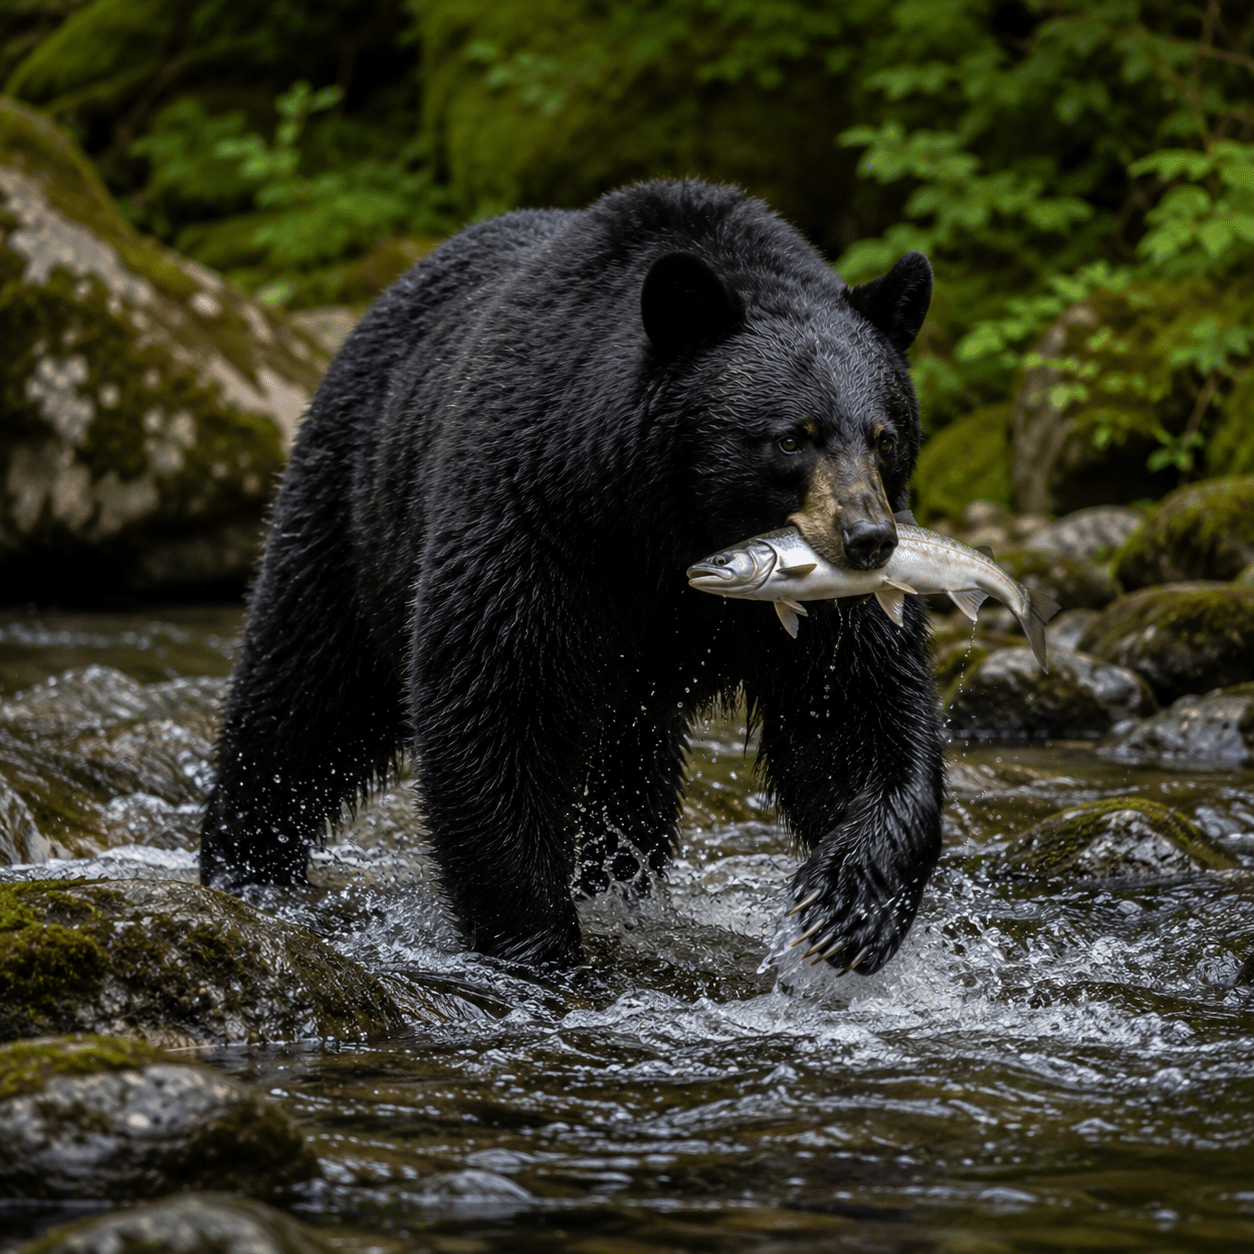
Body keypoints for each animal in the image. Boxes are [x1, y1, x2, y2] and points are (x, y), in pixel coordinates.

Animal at [200, 179, 944, 976]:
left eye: (886, 436)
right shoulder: (541, 515)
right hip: (350, 506)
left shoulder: (822, 598)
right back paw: (247, 863)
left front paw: (848, 907)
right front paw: (536, 942)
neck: (672, 520)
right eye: (791, 438)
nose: (868, 540)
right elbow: (498, 695)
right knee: (305, 690)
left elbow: (853, 708)